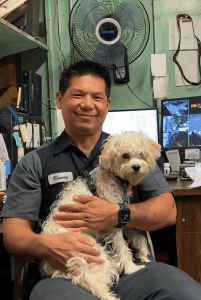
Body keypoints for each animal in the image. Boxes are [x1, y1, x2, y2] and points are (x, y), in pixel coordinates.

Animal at [40, 132, 161, 300]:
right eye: (125, 155)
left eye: (141, 154)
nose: (136, 167)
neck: (114, 176)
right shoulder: (112, 224)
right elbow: (122, 248)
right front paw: (131, 268)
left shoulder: (119, 214)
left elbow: (134, 233)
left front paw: (142, 252)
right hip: (93, 253)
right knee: (92, 283)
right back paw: (109, 296)